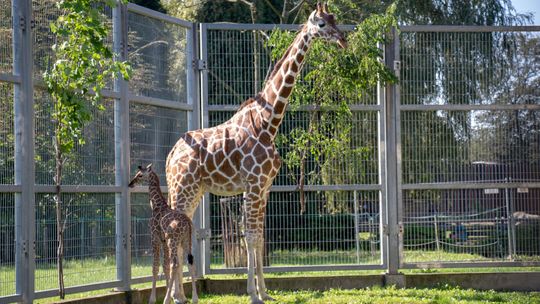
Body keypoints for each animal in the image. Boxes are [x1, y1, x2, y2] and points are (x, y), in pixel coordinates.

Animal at [129, 164, 198, 304]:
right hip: (186, 240)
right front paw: (170, 296)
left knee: (175, 264)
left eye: (140, 175)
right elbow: (165, 266)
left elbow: (155, 267)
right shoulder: (164, 241)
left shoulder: (155, 237)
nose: (130, 184)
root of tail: (188, 223)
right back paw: (194, 298)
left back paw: (166, 299)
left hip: (174, 240)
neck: (156, 205)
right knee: (190, 262)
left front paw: (153, 299)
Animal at [167, 1, 348, 302]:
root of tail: (170, 156)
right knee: (172, 232)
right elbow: (250, 237)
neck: (268, 123)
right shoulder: (252, 185)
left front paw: (265, 291)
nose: (343, 39)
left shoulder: (265, 187)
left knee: (180, 233)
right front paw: (252, 293)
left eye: (336, 19)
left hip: (193, 191)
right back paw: (175, 296)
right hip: (183, 189)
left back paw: (177, 295)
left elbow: (261, 238)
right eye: (322, 24)